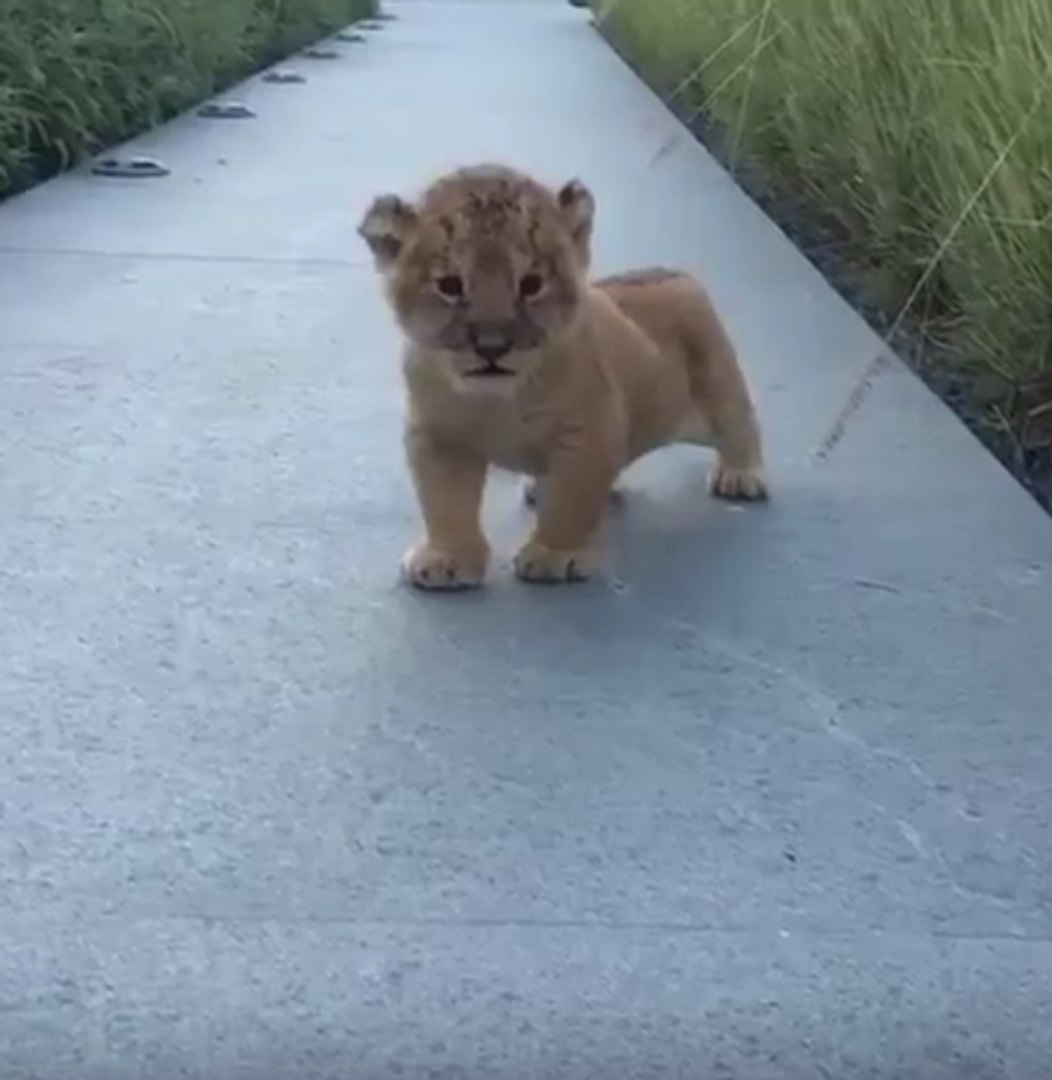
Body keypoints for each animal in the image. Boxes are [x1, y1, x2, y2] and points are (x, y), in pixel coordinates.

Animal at [358, 163, 768, 589]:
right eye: (450, 285)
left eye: (531, 284)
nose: (492, 346)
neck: (497, 401)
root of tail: (672, 271)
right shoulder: (438, 436)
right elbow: (445, 503)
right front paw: (447, 560)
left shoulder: (588, 431)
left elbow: (572, 499)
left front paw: (554, 557)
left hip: (715, 380)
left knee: (739, 422)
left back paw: (740, 476)